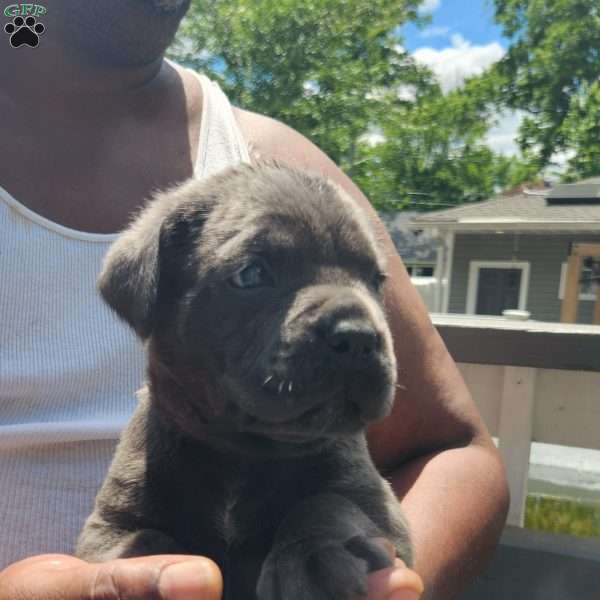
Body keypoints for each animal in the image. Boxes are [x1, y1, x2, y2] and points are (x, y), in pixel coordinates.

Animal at [75, 163, 412, 600]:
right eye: (252, 275)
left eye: (376, 279)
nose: (358, 337)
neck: (242, 453)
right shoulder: (108, 525)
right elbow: (141, 541)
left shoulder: (384, 512)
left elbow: (330, 502)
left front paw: (312, 560)